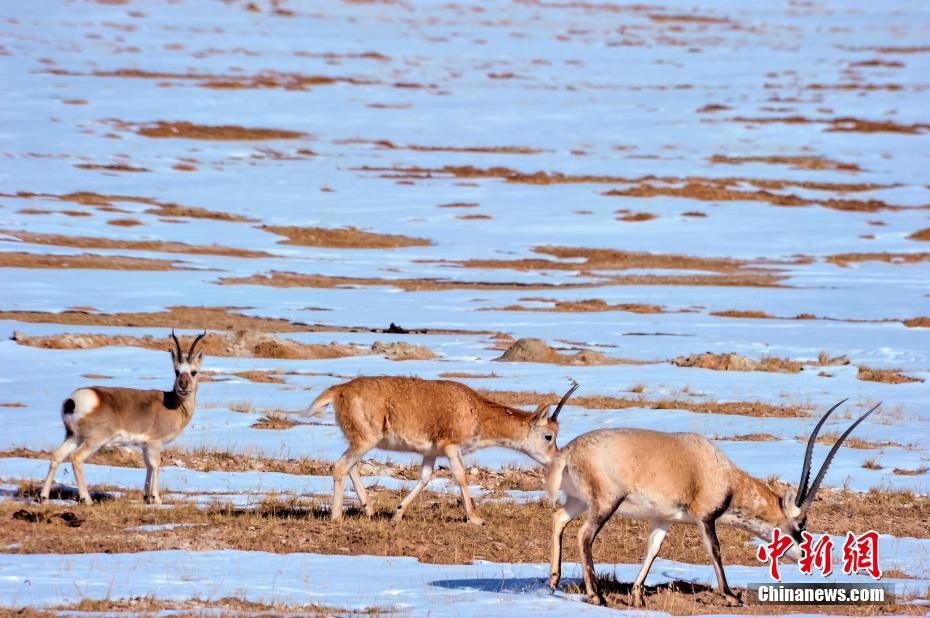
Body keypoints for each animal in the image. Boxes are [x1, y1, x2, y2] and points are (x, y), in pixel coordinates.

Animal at [39, 330, 206, 506]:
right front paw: (157, 499)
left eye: (194, 371)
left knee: (57, 455)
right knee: (76, 458)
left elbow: (148, 466)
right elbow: (156, 465)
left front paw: (146, 497)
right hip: (94, 441)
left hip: (73, 437)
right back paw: (87, 499)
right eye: (177, 371)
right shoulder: (154, 443)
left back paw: (44, 497)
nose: (183, 385)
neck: (171, 403)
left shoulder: (145, 446)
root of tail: (74, 400)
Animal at [308, 376, 579, 524]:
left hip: (360, 441)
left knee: (350, 465)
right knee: (341, 465)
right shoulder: (451, 448)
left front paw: (397, 514)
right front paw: (475, 519)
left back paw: (370, 509)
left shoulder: (431, 452)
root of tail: (340, 390)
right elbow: (460, 475)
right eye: (549, 436)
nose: (555, 460)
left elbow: (425, 477)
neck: (476, 409)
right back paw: (337, 516)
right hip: (366, 440)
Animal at [546, 399, 879, 607]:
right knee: (584, 535)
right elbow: (714, 550)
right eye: (800, 525)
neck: (723, 472)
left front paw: (638, 595)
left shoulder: (662, 519)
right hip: (606, 504)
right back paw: (597, 596)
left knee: (559, 519)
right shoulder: (705, 518)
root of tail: (569, 452)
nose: (805, 555)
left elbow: (653, 550)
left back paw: (553, 581)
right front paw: (731, 595)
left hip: (578, 501)